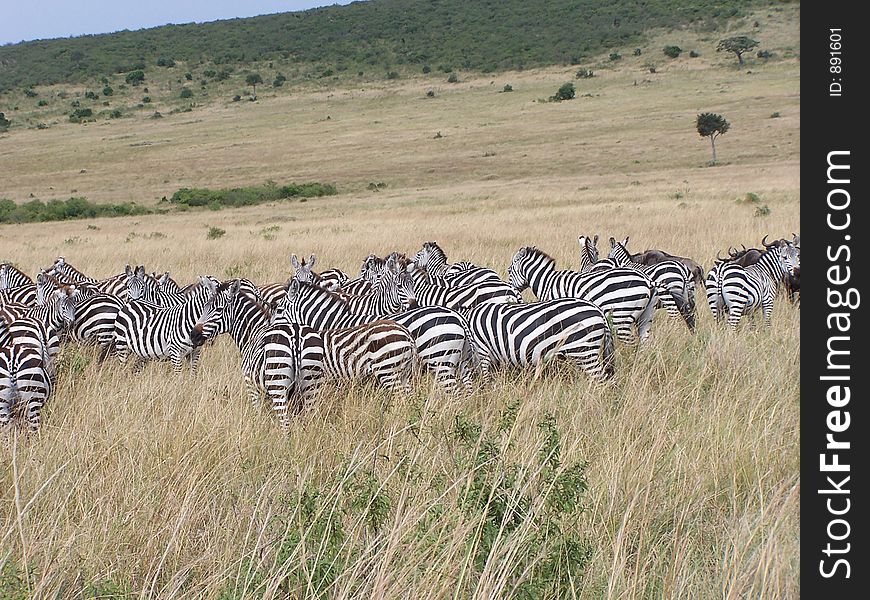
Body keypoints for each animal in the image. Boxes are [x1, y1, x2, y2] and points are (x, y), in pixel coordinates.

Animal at [192, 278, 328, 424]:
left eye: (218, 309)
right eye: (205, 307)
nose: (193, 335)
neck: (253, 332)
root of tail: (295, 337)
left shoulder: (251, 385)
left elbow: (257, 413)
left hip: (278, 384)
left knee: (285, 423)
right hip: (311, 385)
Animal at [508, 246, 656, 344]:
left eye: (509, 270)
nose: (511, 291)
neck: (547, 282)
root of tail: (647, 280)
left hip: (621, 316)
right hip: (645, 317)